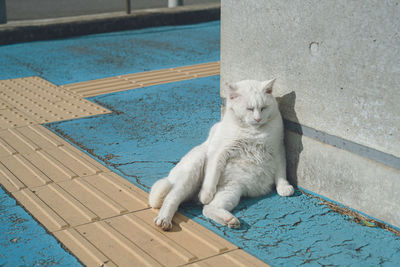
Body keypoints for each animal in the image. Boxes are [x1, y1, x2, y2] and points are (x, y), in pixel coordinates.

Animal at [148, 78, 292, 231]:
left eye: (264, 108)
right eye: (249, 109)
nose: (258, 119)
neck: (254, 131)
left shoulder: (278, 149)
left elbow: (281, 172)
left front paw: (284, 187)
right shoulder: (218, 152)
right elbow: (211, 177)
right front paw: (205, 194)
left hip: (231, 191)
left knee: (207, 208)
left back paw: (230, 220)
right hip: (193, 169)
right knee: (172, 198)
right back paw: (165, 220)